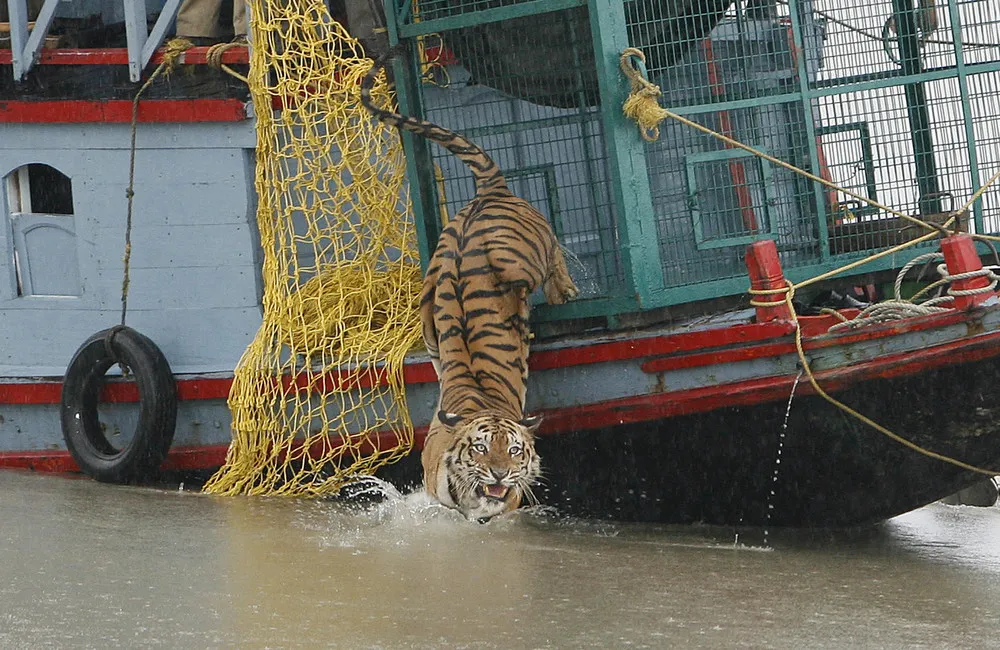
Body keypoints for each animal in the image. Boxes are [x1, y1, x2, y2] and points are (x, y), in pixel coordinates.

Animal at [360, 45, 578, 521]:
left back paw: (563, 292)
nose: (499, 474)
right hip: (451, 301)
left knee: (553, 259)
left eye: (515, 451)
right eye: (479, 448)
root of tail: (488, 192)